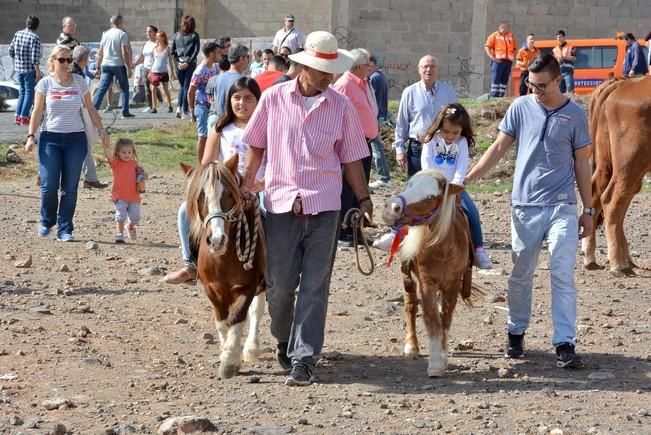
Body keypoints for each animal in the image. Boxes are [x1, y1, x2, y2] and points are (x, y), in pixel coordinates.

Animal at [183, 155, 264, 380]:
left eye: (228, 194)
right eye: (200, 197)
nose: (217, 240)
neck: (223, 258)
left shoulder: (247, 287)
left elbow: (238, 317)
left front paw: (230, 360)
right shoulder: (212, 289)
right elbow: (221, 321)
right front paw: (224, 349)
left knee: (257, 311)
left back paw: (251, 349)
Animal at [382, 170, 478, 378]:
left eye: (430, 197)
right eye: (409, 185)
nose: (391, 208)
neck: (442, 248)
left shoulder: (452, 285)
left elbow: (445, 320)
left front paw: (443, 357)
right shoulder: (427, 284)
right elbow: (432, 319)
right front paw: (435, 364)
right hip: (408, 278)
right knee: (410, 306)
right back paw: (412, 347)